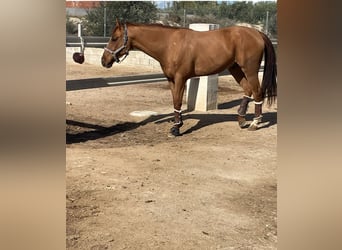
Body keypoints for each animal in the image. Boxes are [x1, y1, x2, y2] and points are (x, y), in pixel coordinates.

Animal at [101, 20, 276, 136]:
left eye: (114, 38)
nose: (104, 61)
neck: (170, 44)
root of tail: (257, 33)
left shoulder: (180, 78)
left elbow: (178, 102)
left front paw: (177, 128)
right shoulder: (171, 80)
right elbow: (175, 102)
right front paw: (176, 124)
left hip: (250, 70)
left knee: (257, 92)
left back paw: (255, 123)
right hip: (235, 68)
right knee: (248, 90)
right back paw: (241, 120)